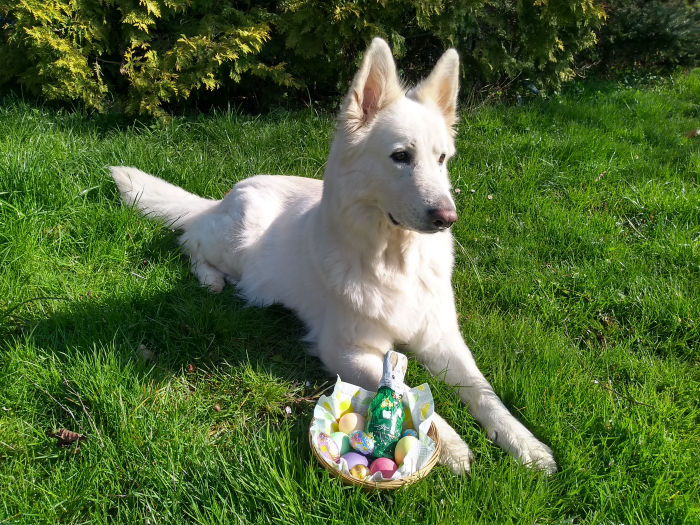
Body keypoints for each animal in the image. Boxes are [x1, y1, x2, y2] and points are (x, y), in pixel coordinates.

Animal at [112, 37, 556, 474]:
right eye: (401, 156)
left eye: (442, 158)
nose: (447, 218)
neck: (395, 264)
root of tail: (225, 196)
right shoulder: (346, 351)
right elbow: (405, 388)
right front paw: (452, 446)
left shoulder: (443, 339)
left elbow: (485, 393)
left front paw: (526, 445)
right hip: (236, 240)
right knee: (190, 237)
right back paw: (210, 278)